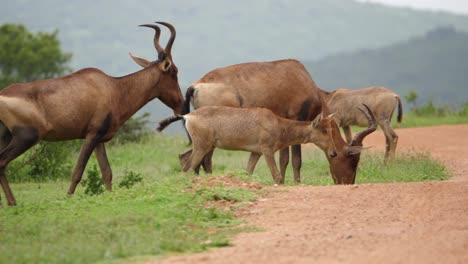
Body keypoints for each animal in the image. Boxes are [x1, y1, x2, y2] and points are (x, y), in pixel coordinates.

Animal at [0, 21, 183, 205]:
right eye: (174, 71)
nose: (182, 106)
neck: (114, 88)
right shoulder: (91, 135)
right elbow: (77, 172)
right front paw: (67, 200)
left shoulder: (99, 139)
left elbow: (107, 172)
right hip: (26, 137)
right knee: (2, 162)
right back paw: (13, 203)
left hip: (5, 137)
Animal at [157, 104, 376, 185]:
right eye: (323, 130)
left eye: (330, 129)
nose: (333, 153)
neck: (275, 122)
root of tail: (187, 116)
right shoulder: (267, 150)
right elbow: (277, 176)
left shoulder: (256, 152)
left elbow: (248, 172)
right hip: (203, 146)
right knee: (187, 168)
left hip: (205, 146)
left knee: (185, 160)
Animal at [171, 59, 322, 184]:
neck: (301, 77)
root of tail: (195, 87)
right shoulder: (297, 117)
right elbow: (296, 159)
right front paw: (296, 183)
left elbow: (283, 159)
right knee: (204, 160)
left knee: (187, 157)